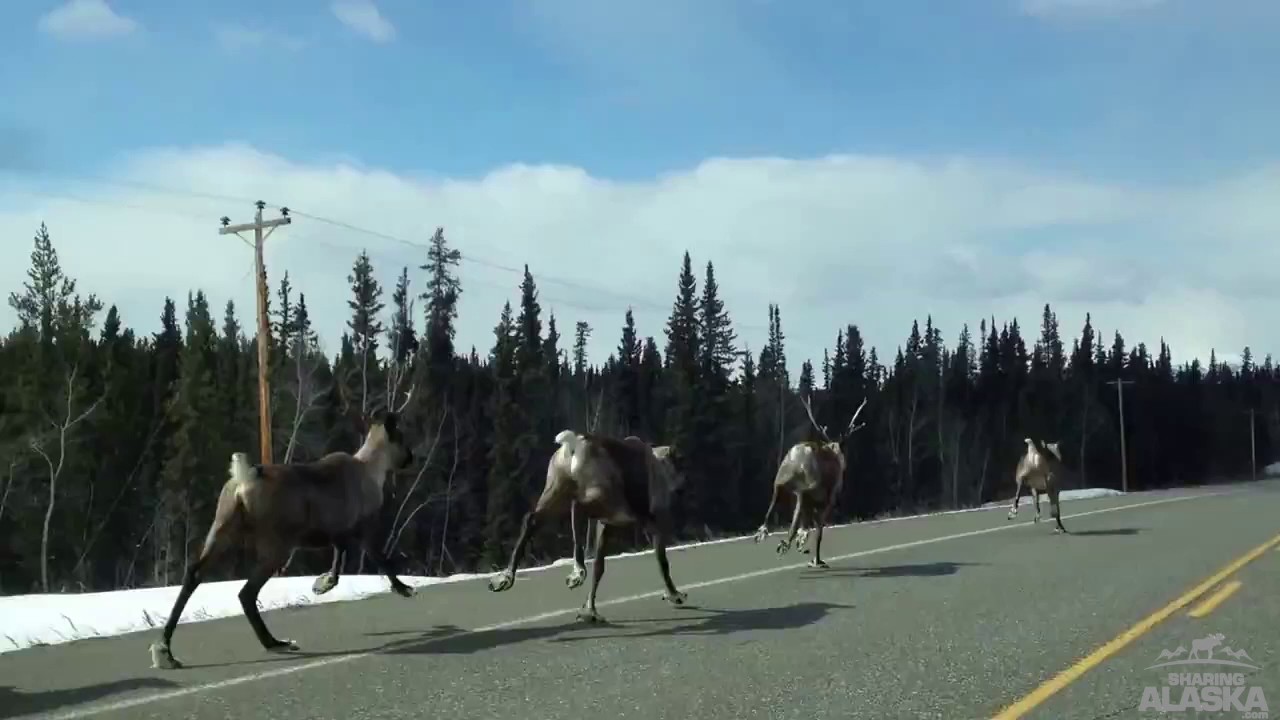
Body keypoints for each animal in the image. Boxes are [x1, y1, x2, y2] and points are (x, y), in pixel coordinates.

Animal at [148, 388, 418, 670]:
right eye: (401, 437)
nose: (411, 457)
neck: (374, 470)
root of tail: (244, 479)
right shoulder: (362, 527)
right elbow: (381, 559)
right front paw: (404, 588)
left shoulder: (337, 533)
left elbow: (338, 563)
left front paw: (321, 584)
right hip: (277, 544)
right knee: (246, 592)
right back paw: (274, 642)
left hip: (223, 526)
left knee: (194, 574)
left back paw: (165, 649)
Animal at [487, 430, 688, 624]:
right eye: (678, 463)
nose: (681, 488)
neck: (660, 465)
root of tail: (575, 444)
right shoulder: (651, 522)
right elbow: (662, 562)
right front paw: (674, 595)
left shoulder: (607, 525)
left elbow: (599, 568)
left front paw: (589, 610)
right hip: (601, 497)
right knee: (576, 505)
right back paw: (577, 571)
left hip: (555, 488)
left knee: (532, 518)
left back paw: (505, 578)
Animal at [753, 395, 867, 569]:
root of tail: (796, 456)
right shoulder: (828, 500)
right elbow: (819, 532)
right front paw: (817, 560)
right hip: (809, 485)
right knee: (799, 509)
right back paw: (790, 542)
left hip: (780, 482)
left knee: (771, 509)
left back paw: (767, 535)